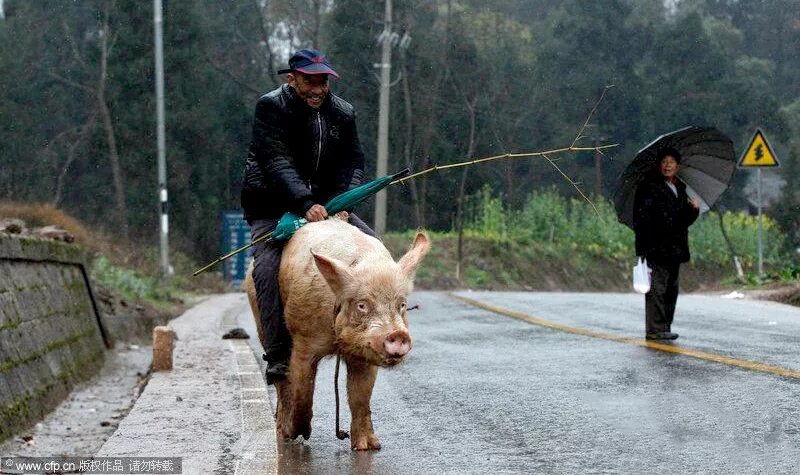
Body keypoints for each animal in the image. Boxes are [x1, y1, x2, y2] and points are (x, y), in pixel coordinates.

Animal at [244, 218, 432, 452]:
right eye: (362, 305)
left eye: (402, 305)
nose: (398, 335)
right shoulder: (303, 338)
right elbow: (303, 389)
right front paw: (300, 433)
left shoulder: (365, 351)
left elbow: (360, 396)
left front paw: (369, 446)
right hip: (260, 316)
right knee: (280, 377)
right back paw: (282, 431)